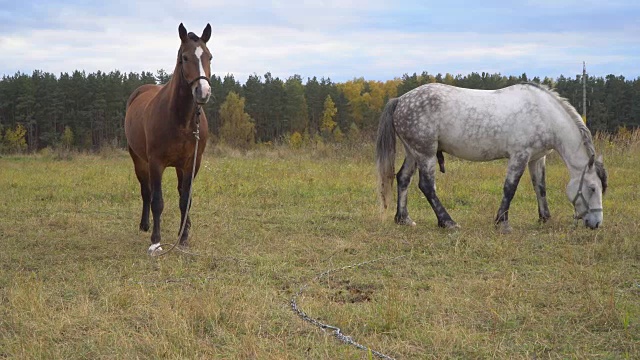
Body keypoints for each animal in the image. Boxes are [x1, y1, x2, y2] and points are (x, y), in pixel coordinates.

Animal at [125, 23, 212, 253]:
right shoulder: (156, 162)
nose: (203, 92)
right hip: (138, 159)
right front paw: (156, 242)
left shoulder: (191, 163)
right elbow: (157, 201)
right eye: (185, 58)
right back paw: (145, 225)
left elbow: (185, 199)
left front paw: (183, 239)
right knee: (146, 191)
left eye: (209, 57)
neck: (181, 120)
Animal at [378, 82, 608, 232]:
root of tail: (401, 100)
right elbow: (510, 188)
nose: (596, 223)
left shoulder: (536, 158)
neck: (544, 114)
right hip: (425, 153)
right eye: (592, 188)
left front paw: (545, 218)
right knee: (426, 186)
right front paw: (502, 222)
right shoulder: (519, 156)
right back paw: (448, 222)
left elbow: (540, 188)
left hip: (413, 152)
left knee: (403, 179)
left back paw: (404, 219)